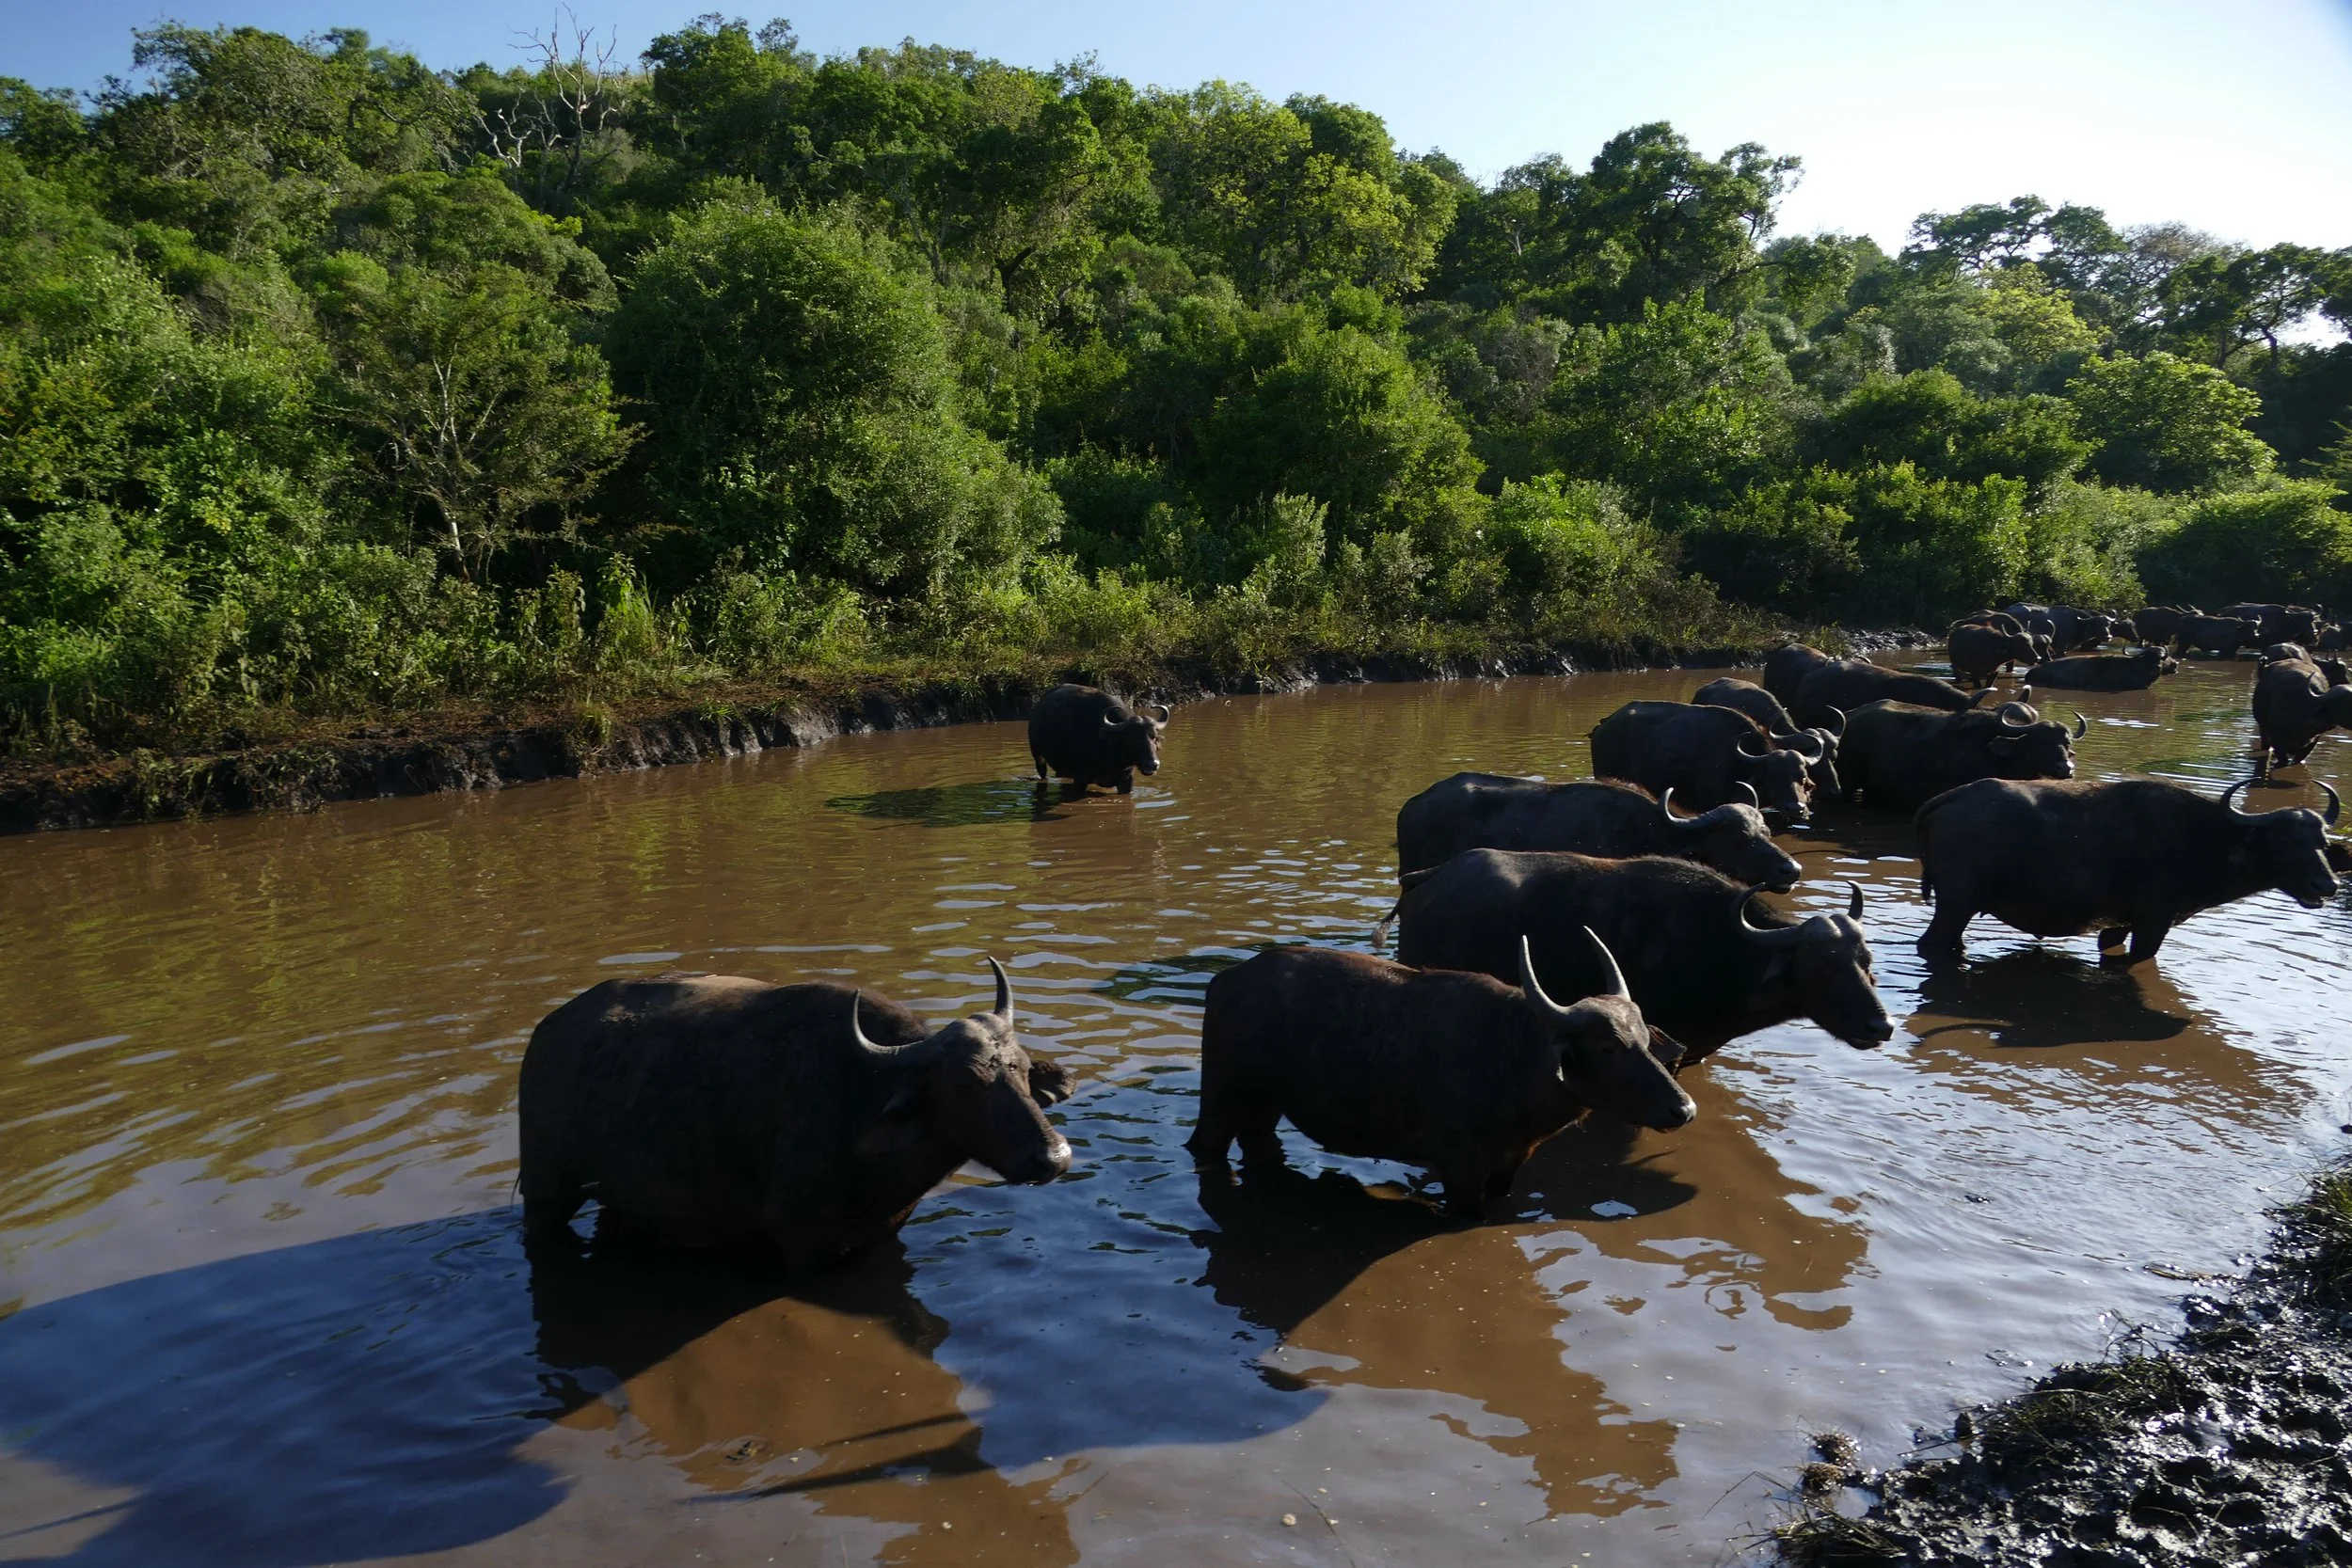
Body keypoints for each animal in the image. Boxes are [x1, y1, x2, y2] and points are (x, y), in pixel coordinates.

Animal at [518, 961, 1074, 1270]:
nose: (1055, 1157)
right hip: (546, 1192)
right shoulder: (804, 1244)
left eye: (1024, 1069)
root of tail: (546, 1032)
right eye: (964, 1085)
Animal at [1029, 683, 1169, 792]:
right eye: (1134, 737)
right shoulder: (1080, 778)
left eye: (1154, 737)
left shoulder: (1126, 780)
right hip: (1037, 755)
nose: (1153, 764)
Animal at [1187, 933, 1695, 1216]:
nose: (1684, 1108)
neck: (1511, 1058)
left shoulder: (1509, 1165)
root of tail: (1227, 981)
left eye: (1644, 1040)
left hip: (1264, 1105)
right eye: (1608, 1047)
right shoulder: (1460, 1171)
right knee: (1204, 1145)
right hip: (1221, 1097)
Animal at [1914, 776, 2342, 966]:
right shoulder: (2153, 923)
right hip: (1955, 904)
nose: (2328, 884)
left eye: (2321, 842)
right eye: (2287, 841)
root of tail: (1954, 795)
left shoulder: (2118, 925)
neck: (2205, 838)